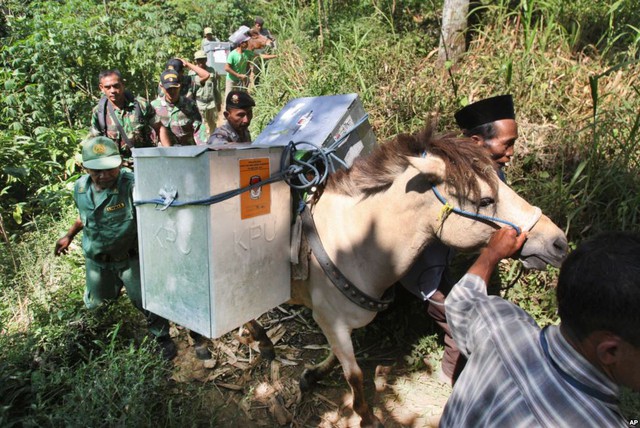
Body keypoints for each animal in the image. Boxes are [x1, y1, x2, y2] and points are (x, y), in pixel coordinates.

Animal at [270, 125, 564, 426]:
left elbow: (339, 358)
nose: (559, 242)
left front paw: (316, 373)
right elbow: (355, 375)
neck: (354, 242)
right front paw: (366, 417)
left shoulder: (335, 323)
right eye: (486, 200)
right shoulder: (330, 320)